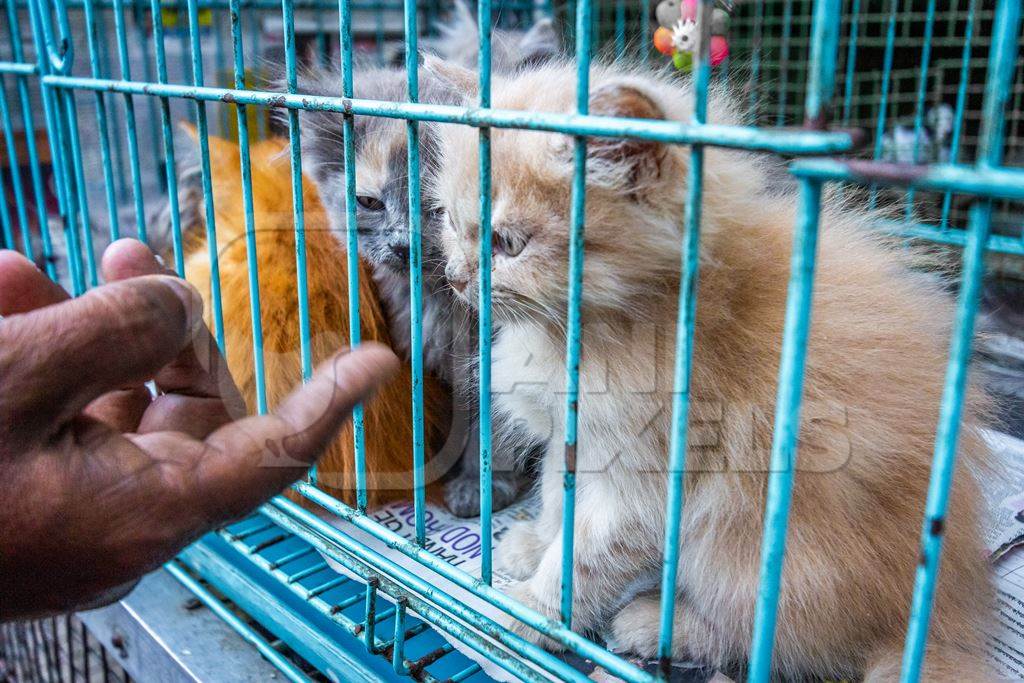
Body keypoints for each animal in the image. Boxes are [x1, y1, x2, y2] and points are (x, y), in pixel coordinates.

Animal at [428, 60, 995, 683]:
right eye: (449, 221)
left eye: (507, 243)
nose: (456, 278)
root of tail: (927, 620)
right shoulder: (572, 438)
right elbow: (558, 497)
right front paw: (534, 544)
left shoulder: (646, 476)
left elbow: (586, 557)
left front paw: (530, 612)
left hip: (752, 550)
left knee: (764, 638)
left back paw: (654, 624)